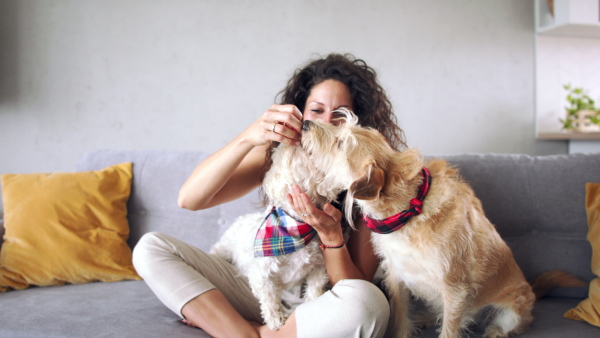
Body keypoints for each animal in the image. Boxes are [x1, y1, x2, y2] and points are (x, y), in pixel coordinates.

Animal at [211, 141, 344, 328]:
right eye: (279, 156)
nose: (294, 140)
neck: (296, 228)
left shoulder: (319, 267)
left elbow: (315, 288)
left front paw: (311, 305)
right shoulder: (261, 273)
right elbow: (269, 298)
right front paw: (276, 319)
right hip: (223, 248)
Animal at [302, 109, 584, 336]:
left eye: (341, 143)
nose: (305, 123)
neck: (408, 212)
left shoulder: (454, 288)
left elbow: (450, 329)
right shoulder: (396, 276)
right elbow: (401, 318)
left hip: (510, 310)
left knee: (501, 325)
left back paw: (494, 332)